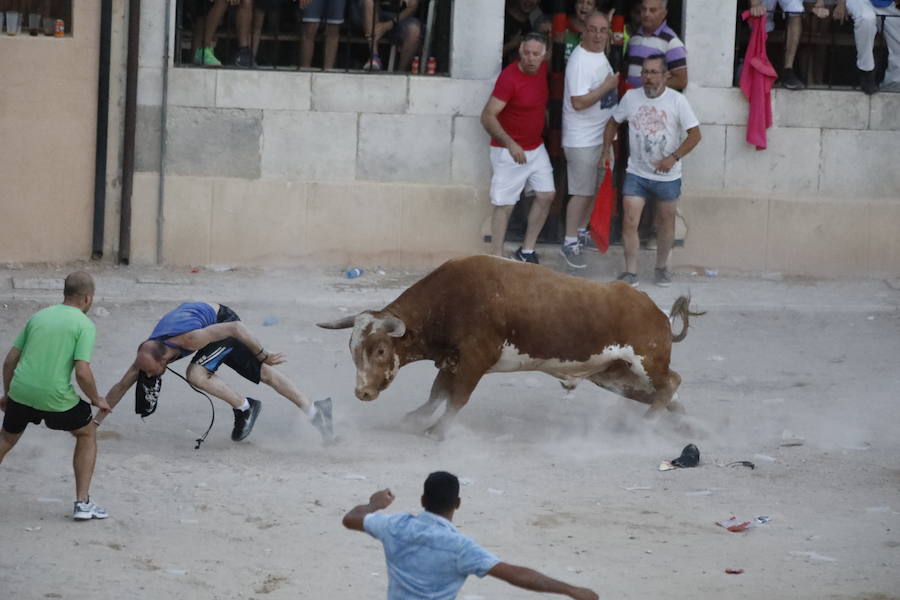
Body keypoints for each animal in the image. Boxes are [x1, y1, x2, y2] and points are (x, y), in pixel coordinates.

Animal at [318, 254, 704, 440]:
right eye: (352, 351)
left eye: (381, 350)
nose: (363, 393)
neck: (449, 300)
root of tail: (657, 312)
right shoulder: (452, 360)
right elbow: (437, 394)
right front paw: (413, 419)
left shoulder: (476, 358)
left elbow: (456, 397)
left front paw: (437, 432)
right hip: (614, 376)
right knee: (668, 394)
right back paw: (686, 426)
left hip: (645, 361)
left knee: (671, 383)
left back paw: (648, 425)